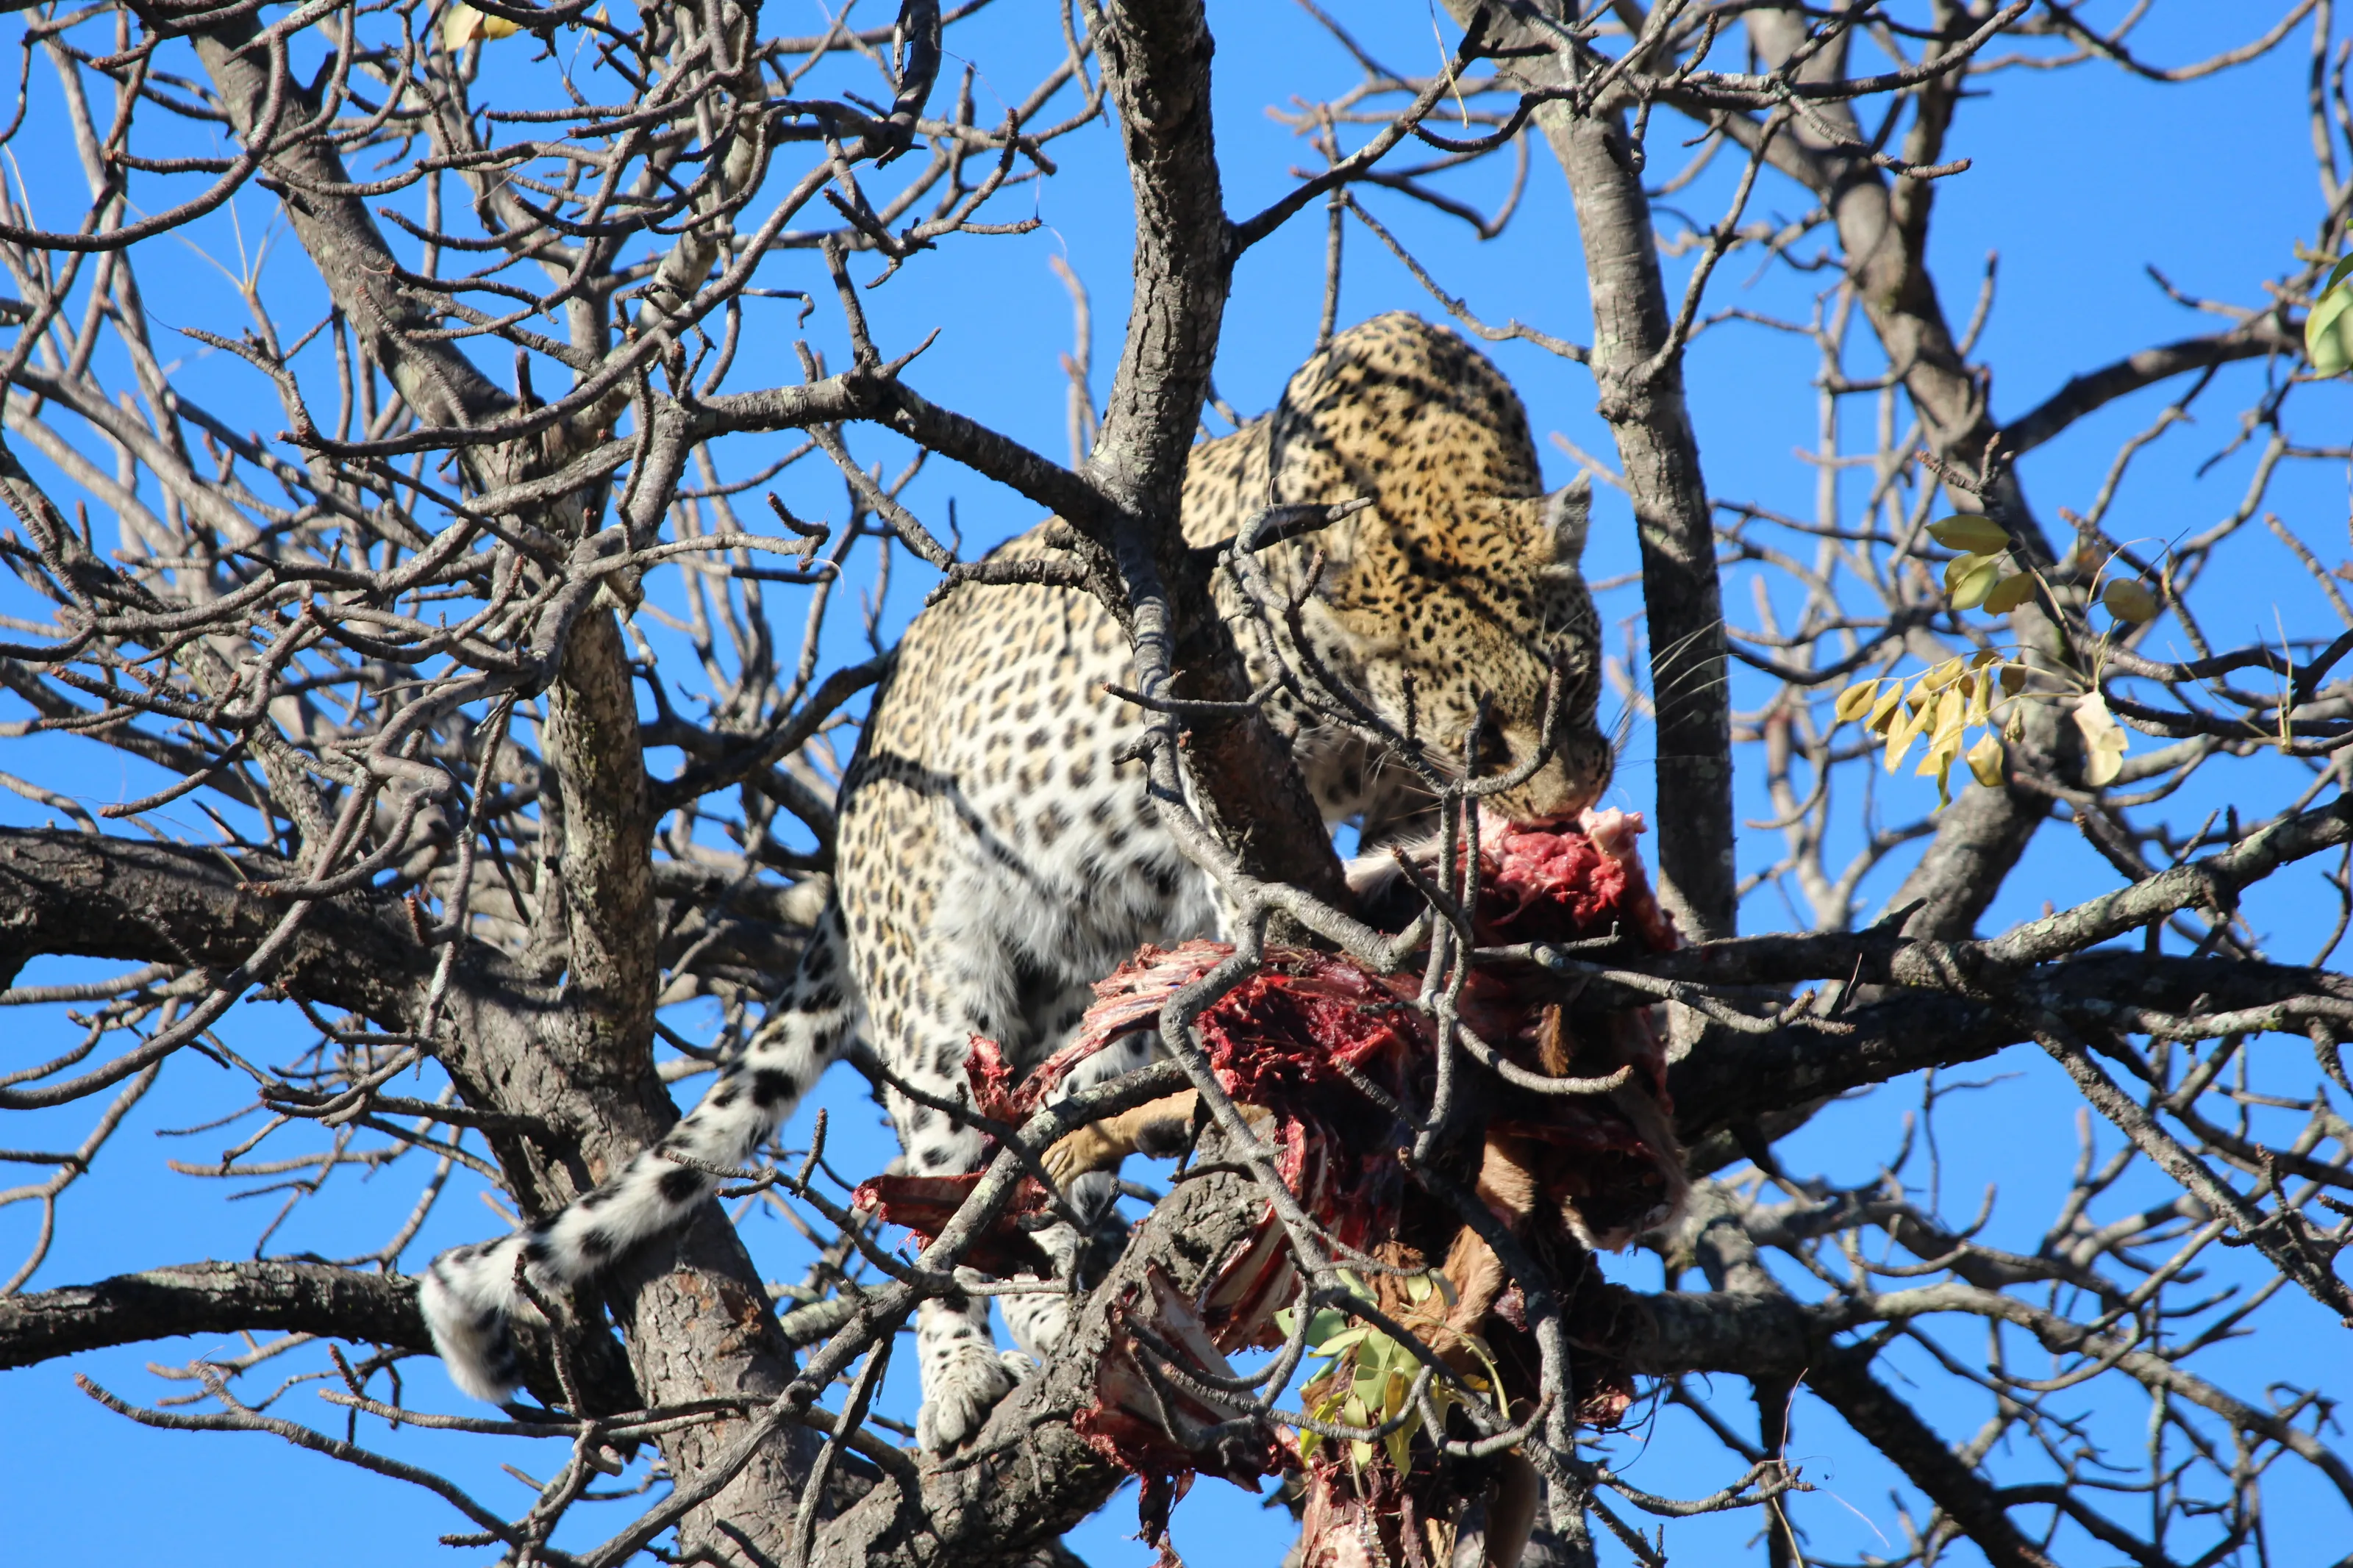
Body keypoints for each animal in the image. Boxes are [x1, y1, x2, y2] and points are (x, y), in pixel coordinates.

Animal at [418, 312, 1615, 1452]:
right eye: (1482, 732)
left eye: (1577, 679)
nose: (1574, 791)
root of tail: (852, 814)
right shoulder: (1205, 743)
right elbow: (1246, 867)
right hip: (937, 990)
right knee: (945, 1194)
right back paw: (965, 1375)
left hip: (1079, 994)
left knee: (1048, 1142)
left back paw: (1063, 1290)